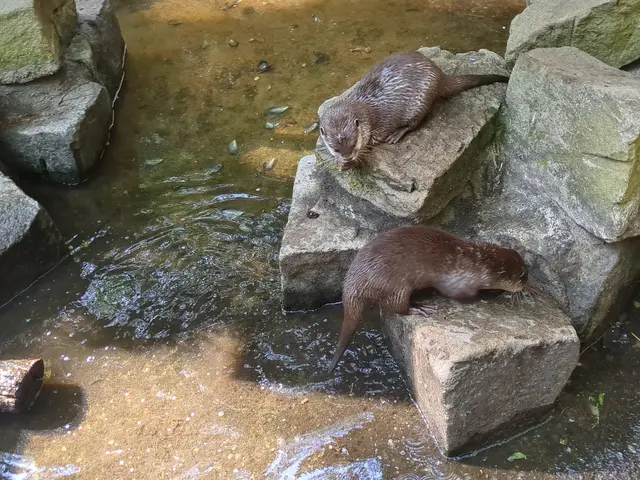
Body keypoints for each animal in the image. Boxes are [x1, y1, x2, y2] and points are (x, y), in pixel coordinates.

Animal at [319, 51, 508, 171]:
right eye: (335, 149)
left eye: (354, 144)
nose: (347, 157)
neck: (365, 110)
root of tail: (439, 74)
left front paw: (351, 163)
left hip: (422, 100)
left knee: (416, 122)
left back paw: (397, 134)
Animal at [328, 226, 528, 372]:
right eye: (522, 275)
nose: (526, 283)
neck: (477, 265)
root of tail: (354, 282)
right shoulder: (458, 283)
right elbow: (462, 295)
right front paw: (493, 293)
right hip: (394, 285)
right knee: (394, 306)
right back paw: (419, 308)